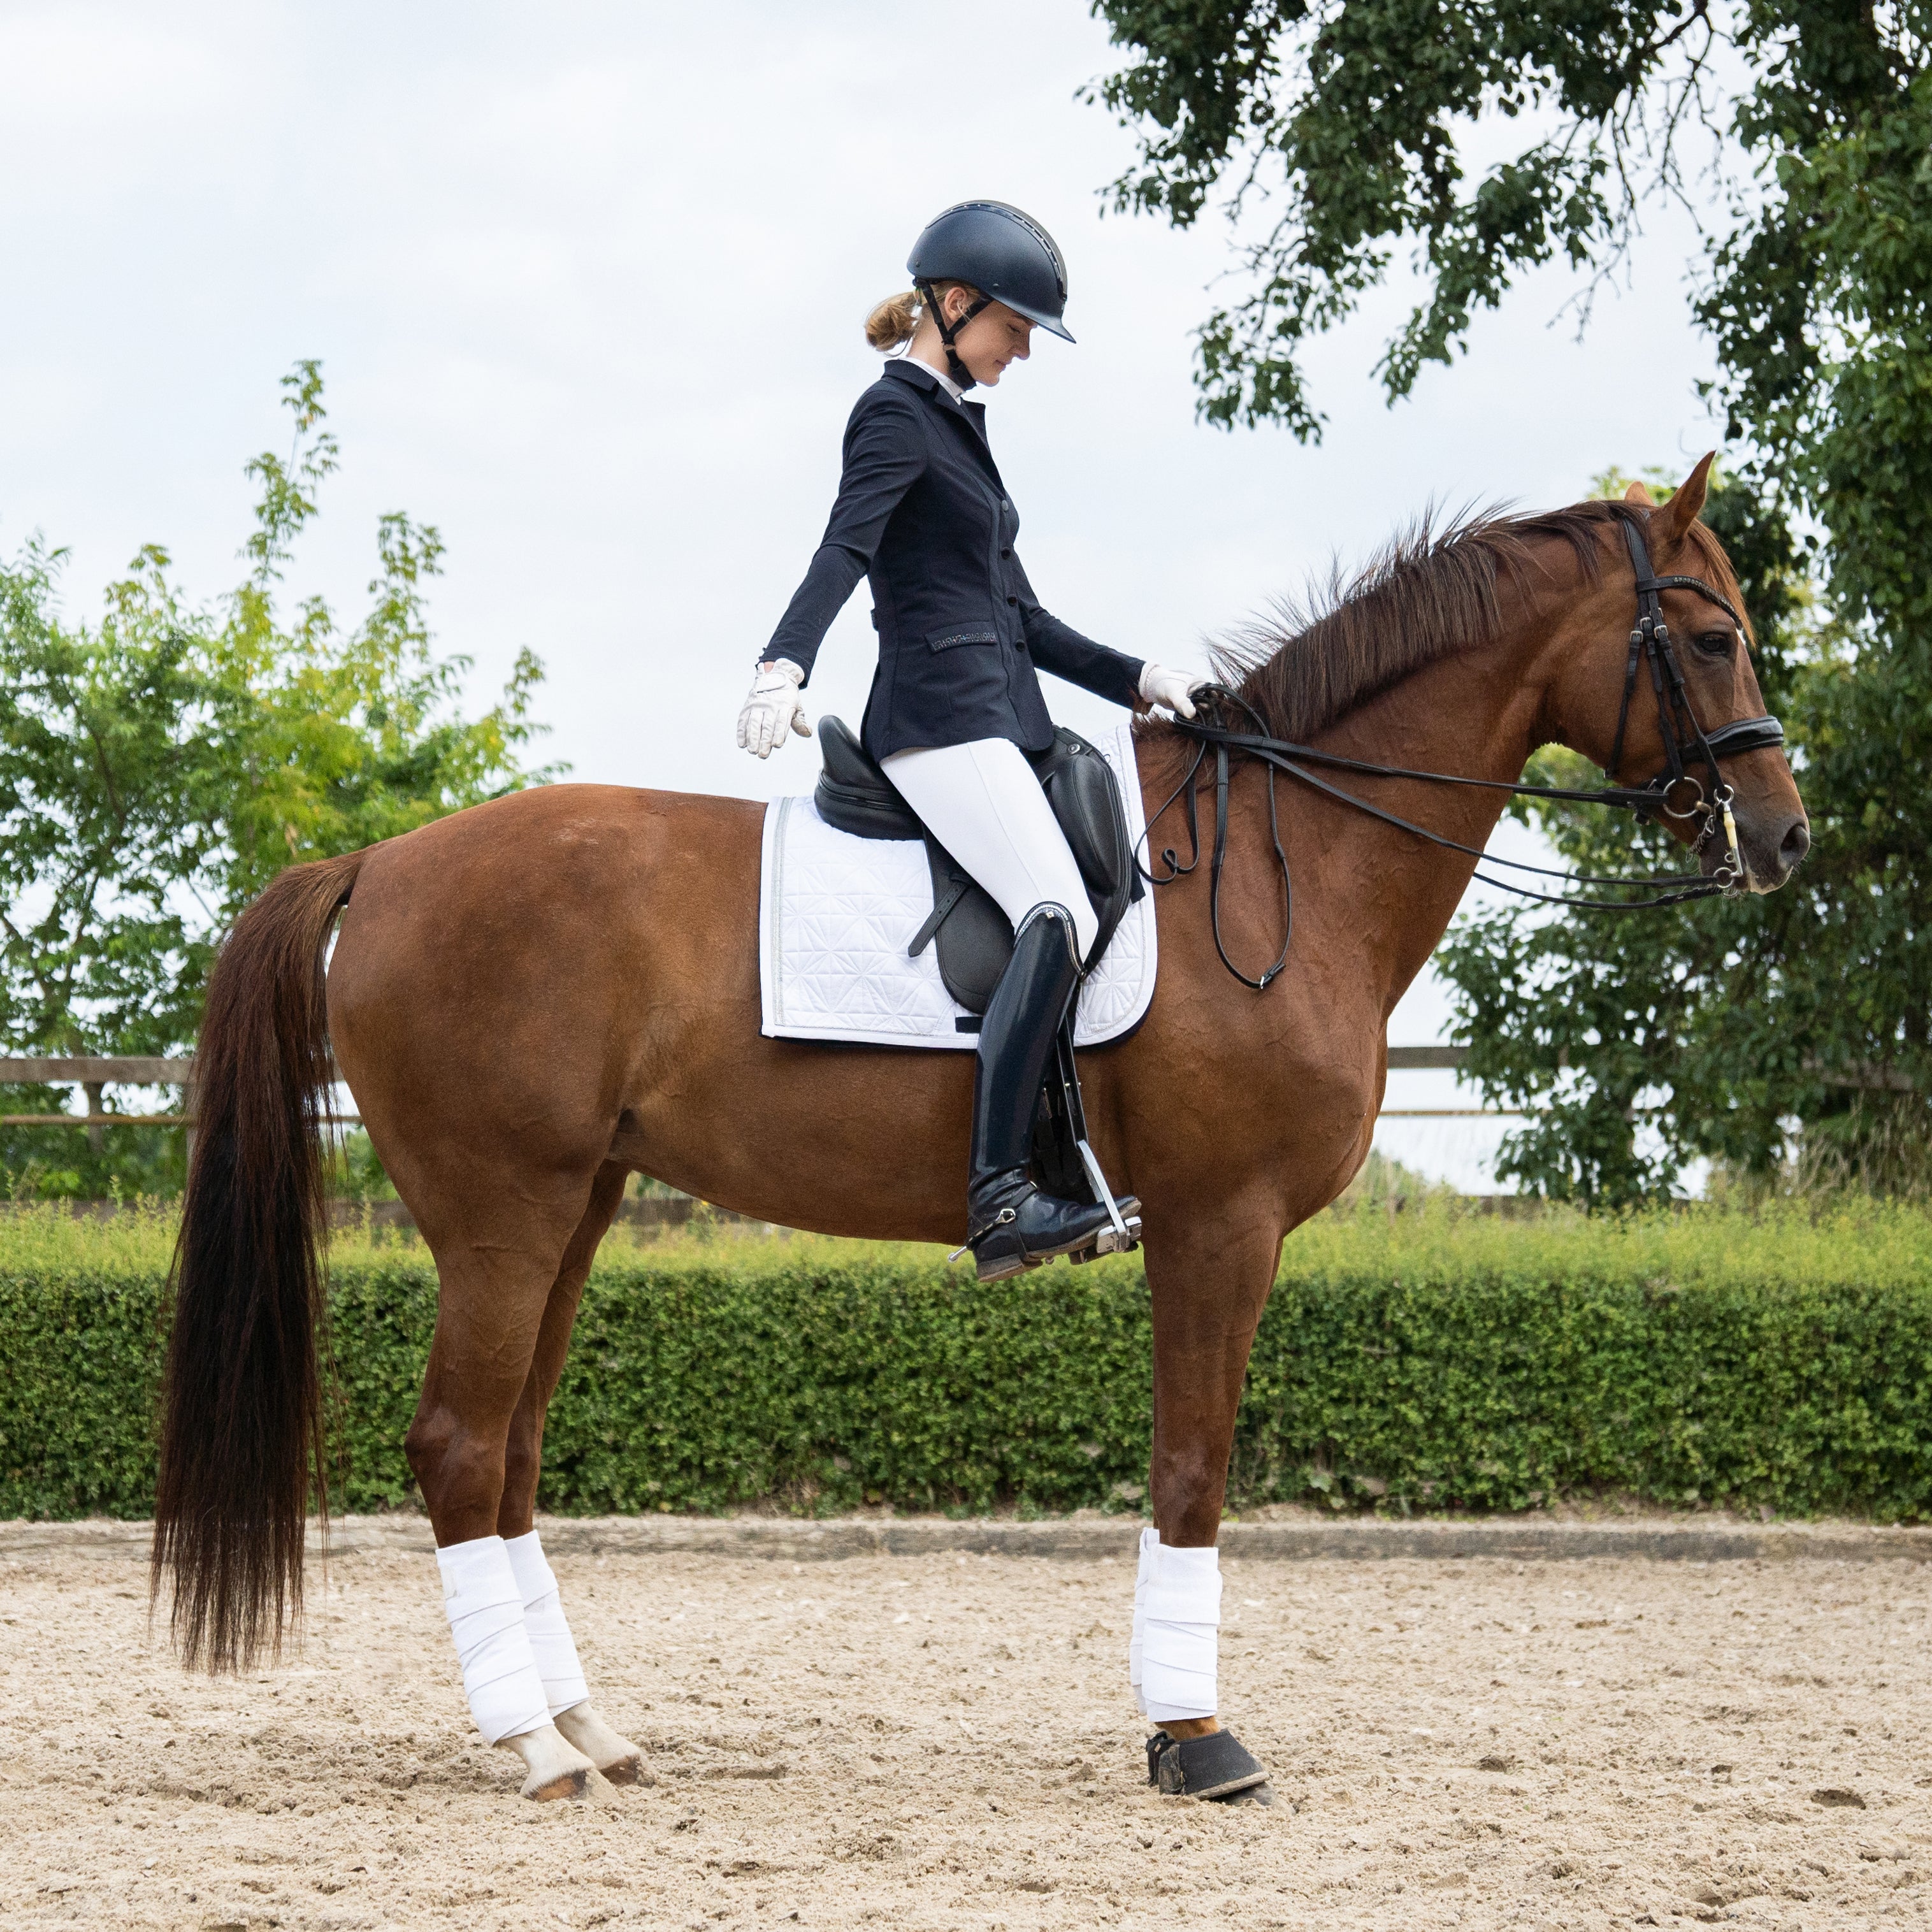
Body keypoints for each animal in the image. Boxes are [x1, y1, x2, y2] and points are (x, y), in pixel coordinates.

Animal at [153, 458, 1808, 1799]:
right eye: (1710, 635)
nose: (1782, 838)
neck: (1296, 862)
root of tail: (382, 862)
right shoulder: (1218, 1222)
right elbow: (1193, 1468)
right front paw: (1195, 1740)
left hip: (576, 1207)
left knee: (505, 1456)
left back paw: (584, 1731)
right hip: (505, 1214)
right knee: (455, 1446)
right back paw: (528, 1749)